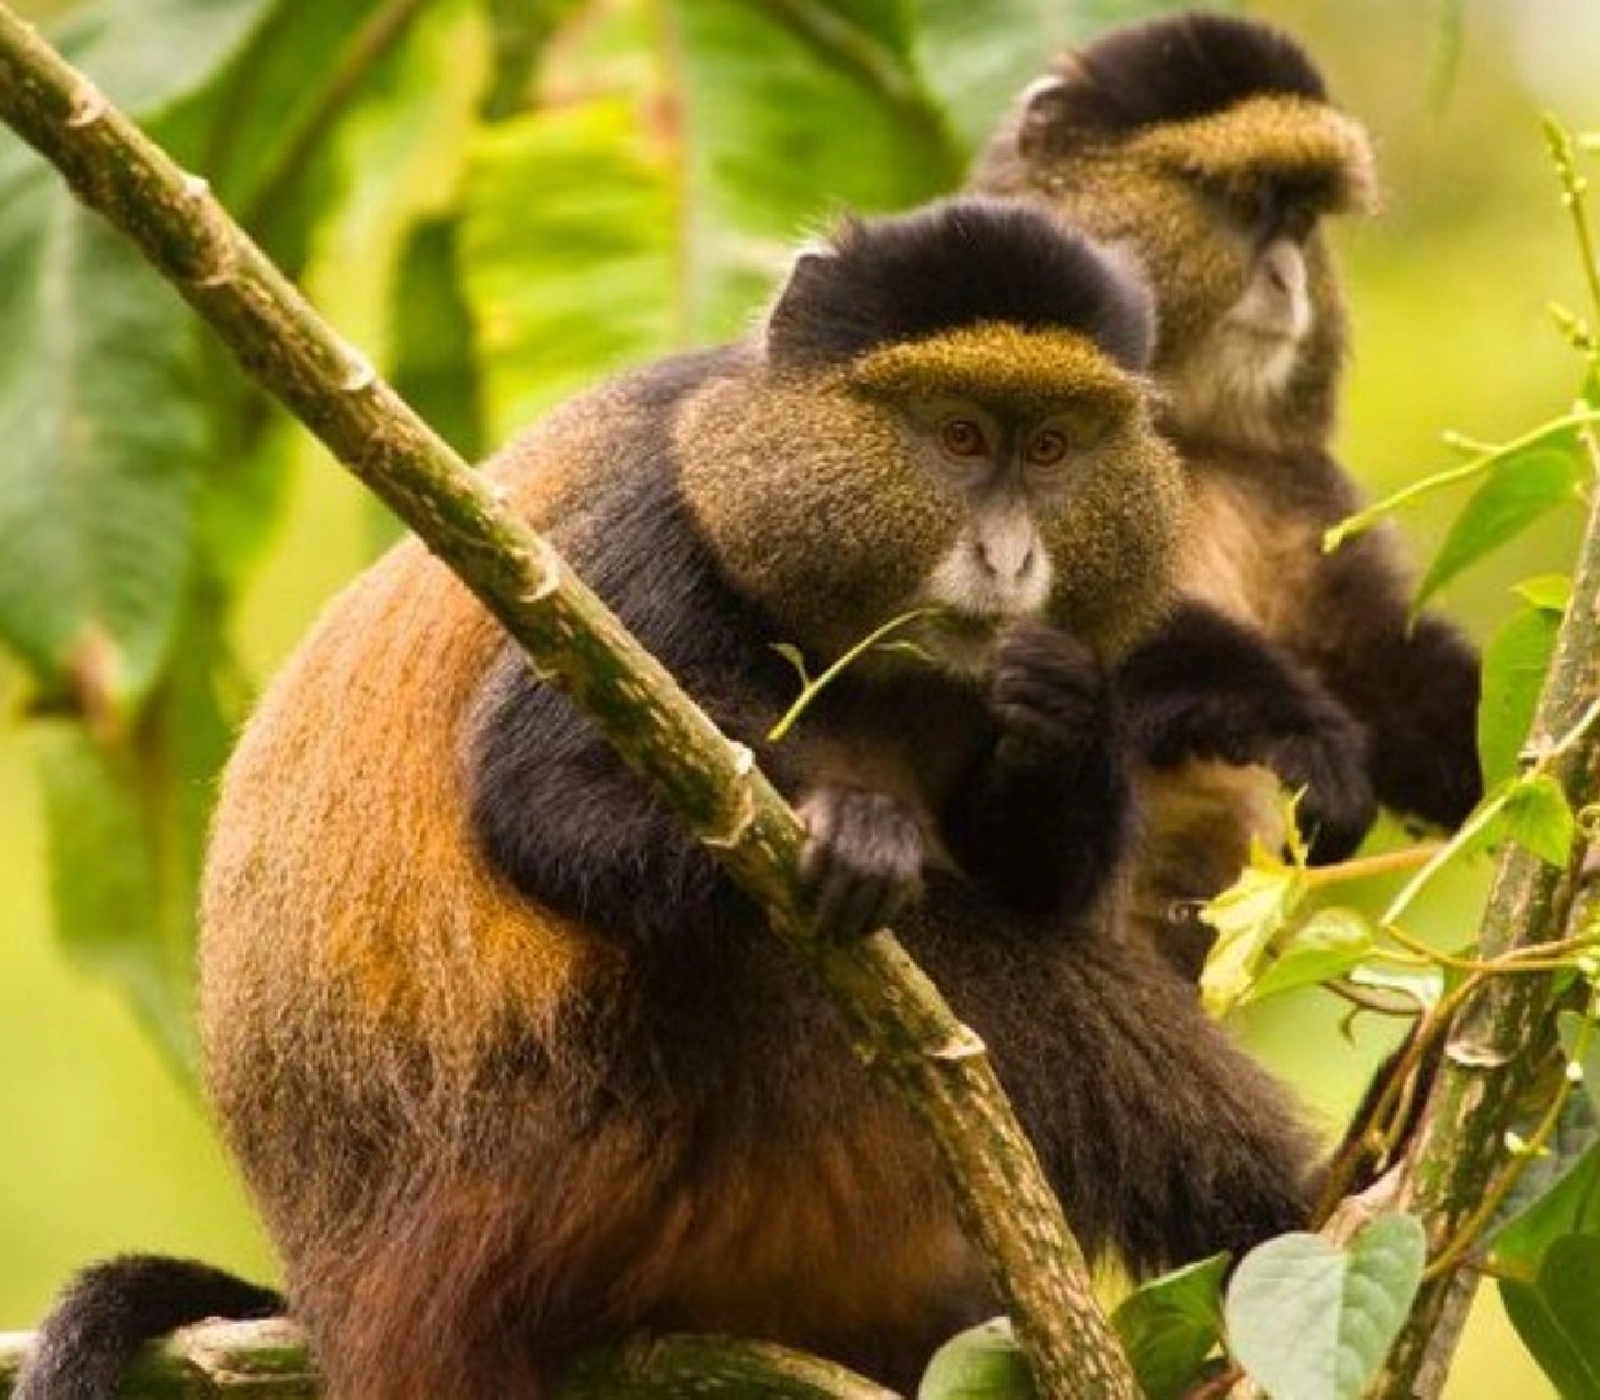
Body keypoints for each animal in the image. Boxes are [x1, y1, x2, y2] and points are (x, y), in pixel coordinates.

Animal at [15, 197, 1331, 1399]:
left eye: (1051, 448)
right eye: (957, 437)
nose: (1007, 560)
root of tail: (335, 1284)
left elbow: (1041, 864)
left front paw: (1059, 710)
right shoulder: (650, 537)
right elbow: (539, 796)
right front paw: (859, 832)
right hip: (577, 1156)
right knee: (929, 963)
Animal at [970, 11, 1483, 976]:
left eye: (1302, 217)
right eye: (1245, 203)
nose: (1288, 280)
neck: (1181, 429)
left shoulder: (1291, 482)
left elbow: (1369, 646)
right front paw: (1298, 730)